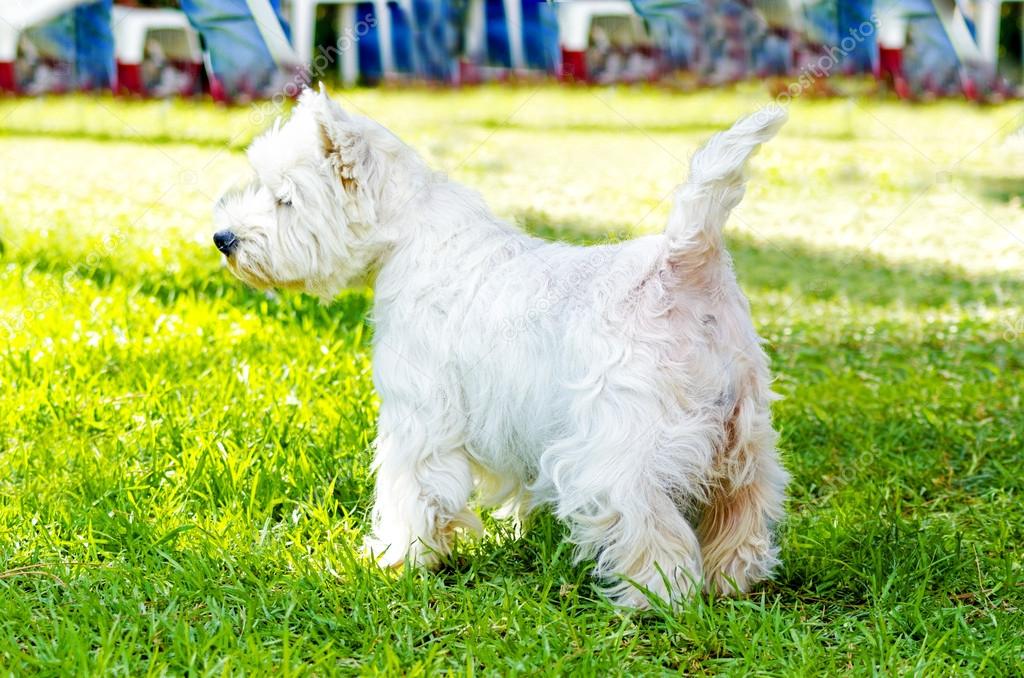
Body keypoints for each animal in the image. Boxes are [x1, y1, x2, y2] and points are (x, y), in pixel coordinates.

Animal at [214, 86, 790, 610]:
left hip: (619, 449)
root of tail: (686, 261)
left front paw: (397, 558)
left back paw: (654, 598)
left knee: (650, 523)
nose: (224, 239)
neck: (407, 236)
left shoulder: (419, 418)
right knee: (744, 506)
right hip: (744, 436)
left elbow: (411, 491)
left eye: (285, 199)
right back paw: (733, 579)